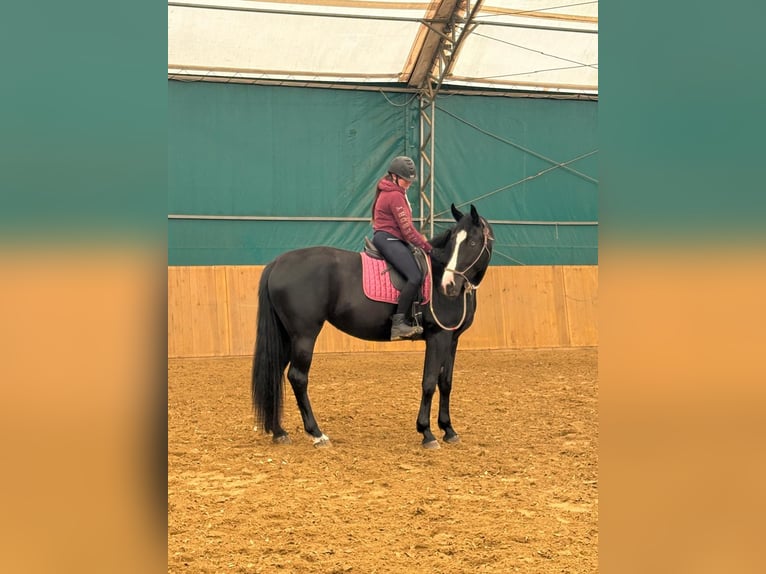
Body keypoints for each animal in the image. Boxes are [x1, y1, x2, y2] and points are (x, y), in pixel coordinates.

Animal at [251, 203, 494, 448]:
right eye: (453, 242)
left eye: (472, 243)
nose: (448, 285)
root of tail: (277, 263)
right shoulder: (437, 337)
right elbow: (429, 382)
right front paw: (427, 433)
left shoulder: (451, 339)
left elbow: (446, 382)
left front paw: (449, 430)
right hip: (304, 335)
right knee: (298, 377)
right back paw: (317, 434)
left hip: (286, 336)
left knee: (275, 372)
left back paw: (279, 432)